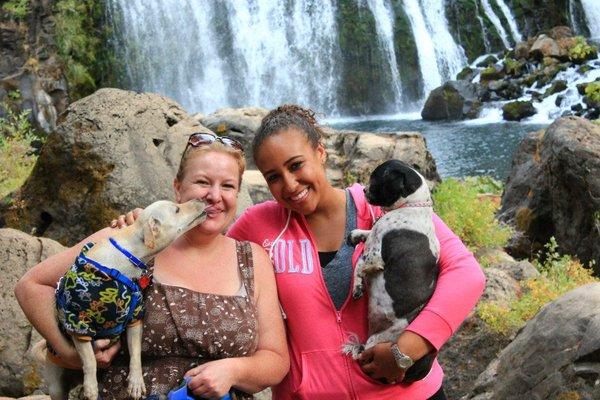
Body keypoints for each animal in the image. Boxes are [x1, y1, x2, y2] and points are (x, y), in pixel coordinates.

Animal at [40, 199, 206, 400]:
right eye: (177, 209)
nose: (201, 200)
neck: (126, 257)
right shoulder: (79, 322)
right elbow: (90, 360)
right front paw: (91, 387)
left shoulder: (134, 318)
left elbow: (135, 353)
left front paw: (136, 382)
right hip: (56, 384)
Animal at [342, 159, 440, 382]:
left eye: (376, 179)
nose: (364, 189)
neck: (412, 207)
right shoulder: (374, 239)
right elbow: (368, 233)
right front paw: (356, 234)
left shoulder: (376, 255)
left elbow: (359, 263)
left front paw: (357, 287)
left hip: (379, 342)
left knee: (365, 355)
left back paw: (355, 348)